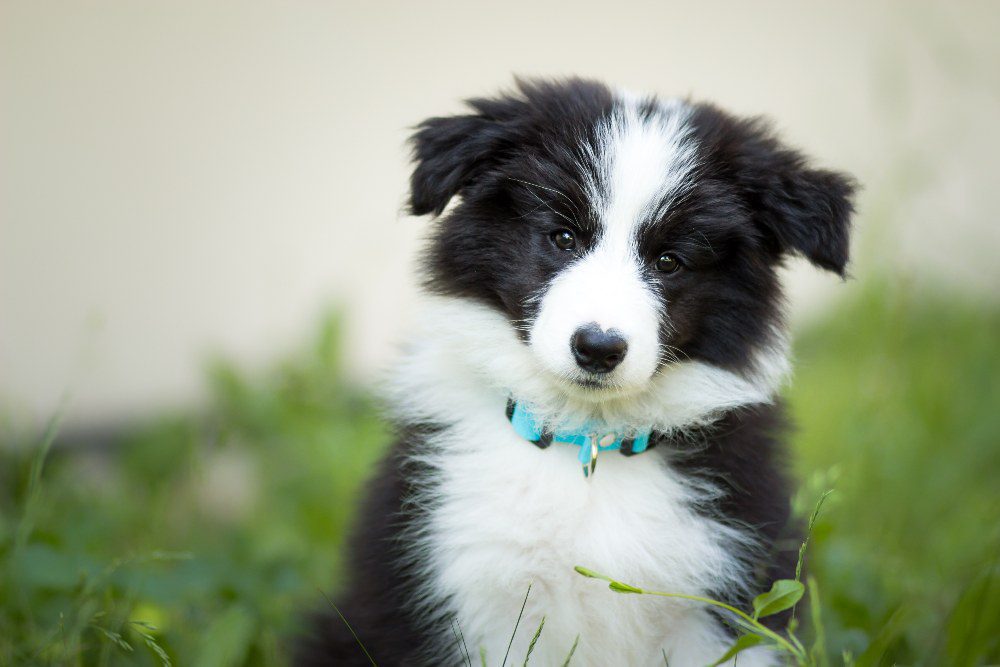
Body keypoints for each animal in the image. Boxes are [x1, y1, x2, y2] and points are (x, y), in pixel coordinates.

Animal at [292, 79, 856, 667]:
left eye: (670, 261)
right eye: (563, 238)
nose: (598, 348)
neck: (586, 441)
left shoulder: (724, 598)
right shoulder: (467, 589)